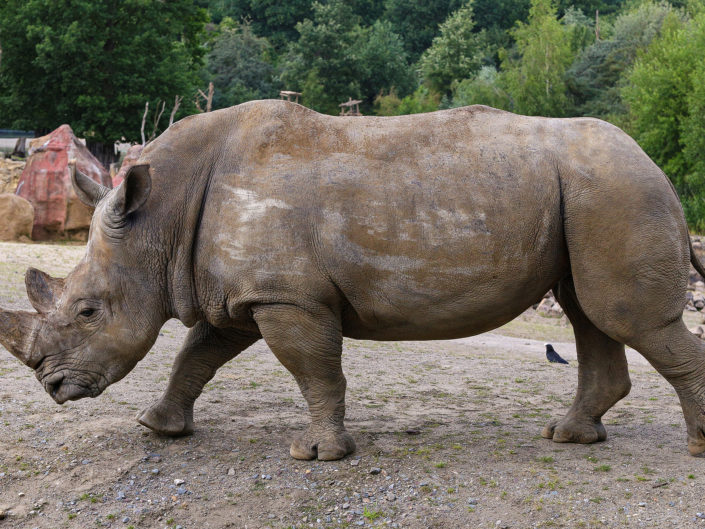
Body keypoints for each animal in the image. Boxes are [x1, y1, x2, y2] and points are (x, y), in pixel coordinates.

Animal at [1, 100, 705, 459]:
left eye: (88, 312)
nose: (53, 387)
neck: (159, 222)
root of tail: (656, 164)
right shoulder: (245, 293)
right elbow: (198, 354)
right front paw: (157, 427)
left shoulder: (287, 297)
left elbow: (313, 368)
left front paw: (319, 456)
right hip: (596, 194)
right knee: (590, 312)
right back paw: (569, 438)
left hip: (618, 189)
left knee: (624, 317)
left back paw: (695, 449)